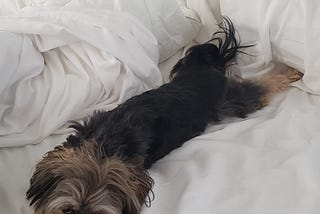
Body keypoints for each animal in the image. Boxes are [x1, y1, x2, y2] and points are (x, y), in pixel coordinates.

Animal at [25, 18, 302, 214]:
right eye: (66, 210)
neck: (102, 145)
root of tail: (201, 73)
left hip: (230, 100)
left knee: (259, 88)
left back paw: (290, 72)